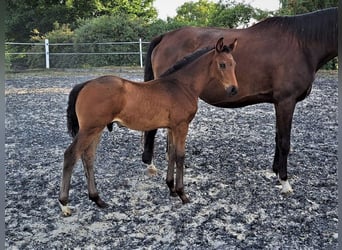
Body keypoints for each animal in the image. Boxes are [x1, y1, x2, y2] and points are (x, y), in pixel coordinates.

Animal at [58, 38, 239, 216]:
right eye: (222, 64)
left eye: (234, 64)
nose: (233, 89)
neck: (181, 85)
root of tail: (85, 84)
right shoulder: (181, 126)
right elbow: (180, 156)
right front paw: (182, 194)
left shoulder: (171, 127)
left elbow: (171, 153)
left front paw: (171, 189)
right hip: (90, 129)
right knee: (71, 155)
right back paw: (64, 205)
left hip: (97, 129)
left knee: (88, 156)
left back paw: (97, 199)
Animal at [141, 7, 336, 194]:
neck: (301, 44)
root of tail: (165, 36)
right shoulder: (286, 101)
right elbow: (284, 142)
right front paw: (285, 181)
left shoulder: (279, 103)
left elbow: (278, 137)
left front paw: (276, 171)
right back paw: (151, 165)